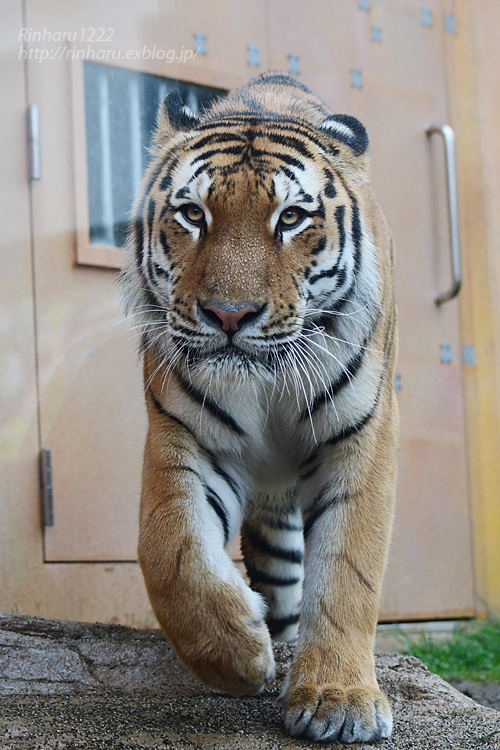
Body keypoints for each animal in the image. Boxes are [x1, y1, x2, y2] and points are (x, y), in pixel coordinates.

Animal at [121, 72, 398, 748]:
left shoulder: (363, 438)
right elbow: (169, 553)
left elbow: (348, 570)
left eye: (291, 218)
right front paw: (237, 655)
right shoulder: (185, 437)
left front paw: (339, 702)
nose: (229, 315)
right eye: (194, 214)